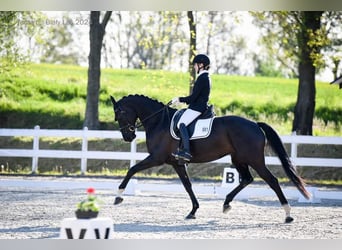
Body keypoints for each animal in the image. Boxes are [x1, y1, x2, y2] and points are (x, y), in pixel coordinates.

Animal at [111, 94, 312, 223]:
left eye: (119, 114)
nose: (128, 137)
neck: (159, 121)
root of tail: (255, 124)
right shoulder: (176, 163)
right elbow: (187, 185)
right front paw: (193, 211)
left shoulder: (156, 158)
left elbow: (132, 169)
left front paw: (118, 197)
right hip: (238, 159)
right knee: (247, 179)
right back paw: (226, 204)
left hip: (255, 160)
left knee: (272, 181)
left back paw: (288, 214)